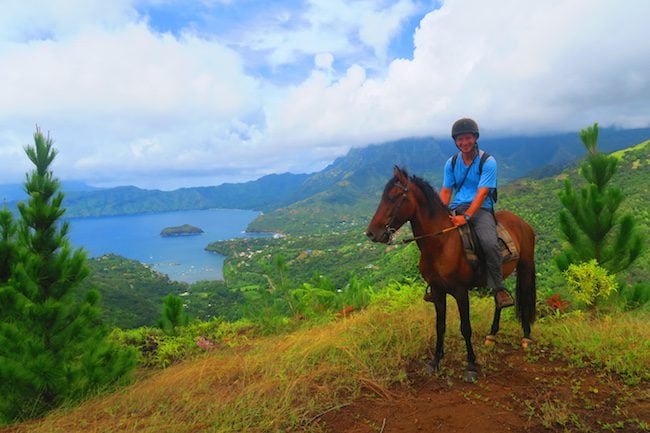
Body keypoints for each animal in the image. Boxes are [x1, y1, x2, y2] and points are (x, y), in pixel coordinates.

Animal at [368, 167, 536, 380]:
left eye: (394, 196)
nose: (371, 233)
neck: (441, 243)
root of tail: (522, 222)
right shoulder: (438, 291)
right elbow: (440, 326)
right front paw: (436, 361)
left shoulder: (460, 291)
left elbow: (465, 327)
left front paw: (471, 365)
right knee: (499, 298)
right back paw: (492, 334)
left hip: (525, 266)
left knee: (526, 297)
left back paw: (526, 336)